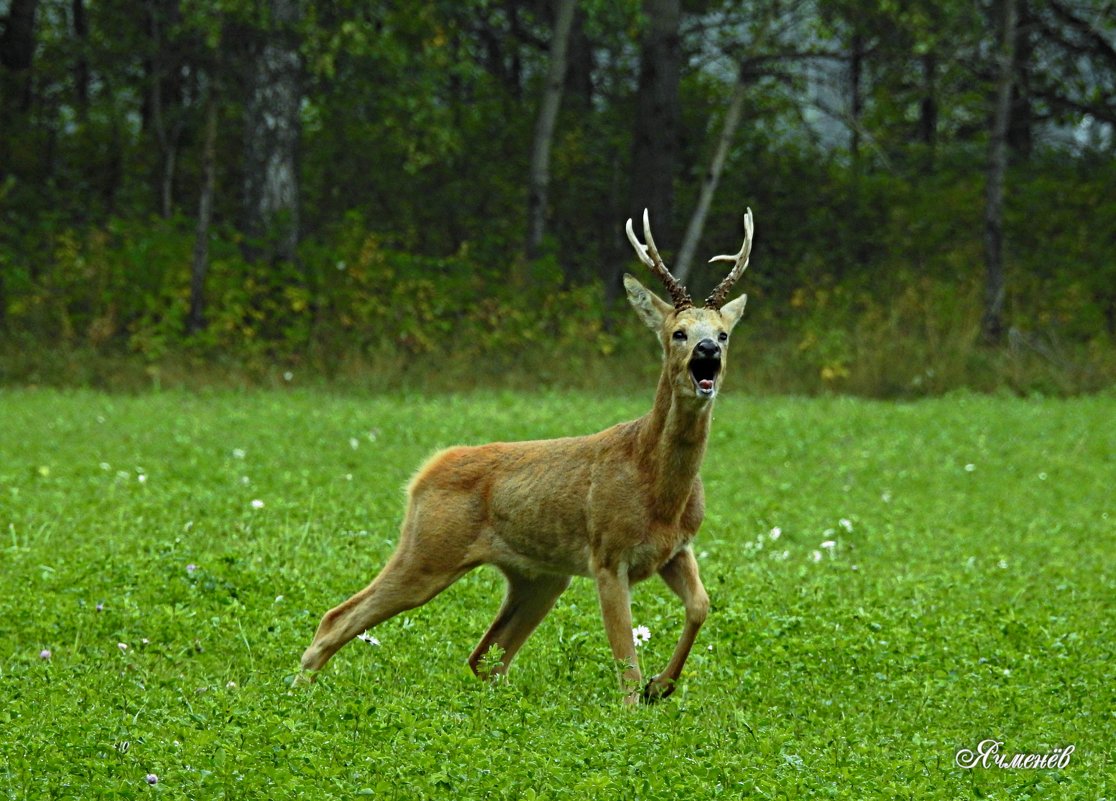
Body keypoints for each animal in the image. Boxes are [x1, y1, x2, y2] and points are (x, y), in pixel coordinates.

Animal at [301, 209, 754, 705]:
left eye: (724, 334)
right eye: (678, 333)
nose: (707, 350)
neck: (657, 488)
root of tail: (426, 471)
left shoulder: (677, 549)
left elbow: (700, 606)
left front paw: (662, 686)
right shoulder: (607, 554)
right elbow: (626, 663)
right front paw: (635, 706)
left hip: (539, 577)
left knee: (484, 657)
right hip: (428, 548)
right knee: (337, 618)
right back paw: (297, 693)